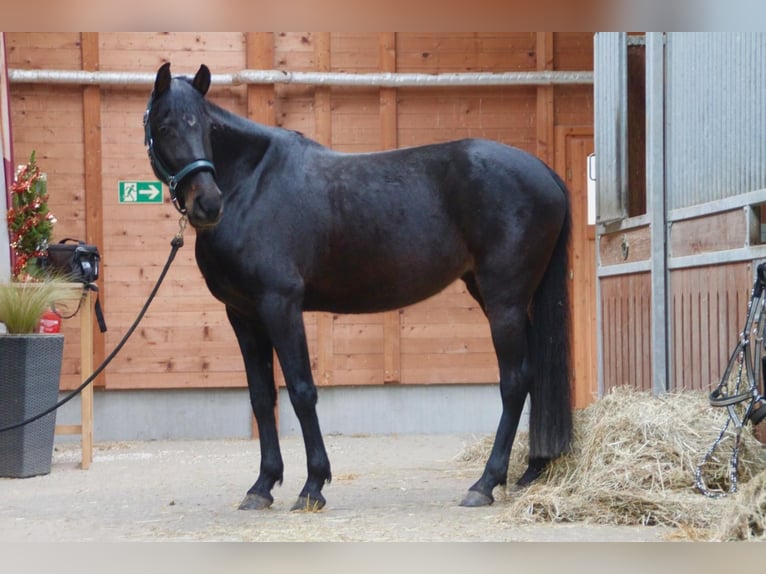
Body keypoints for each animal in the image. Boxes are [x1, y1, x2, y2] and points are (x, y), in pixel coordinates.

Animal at [143, 62, 573, 511]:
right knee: (534, 376)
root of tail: (546, 174)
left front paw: (312, 486)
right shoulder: (243, 315)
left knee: (515, 381)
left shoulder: (280, 305)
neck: (253, 185)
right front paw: (262, 486)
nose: (208, 204)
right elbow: (262, 398)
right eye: (165, 125)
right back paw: (530, 472)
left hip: (504, 301)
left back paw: (485, 483)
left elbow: (301, 391)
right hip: (507, 300)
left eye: (205, 126)